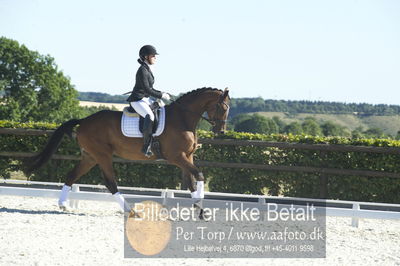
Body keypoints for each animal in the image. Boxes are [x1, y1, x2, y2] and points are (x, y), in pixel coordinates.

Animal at [26, 87, 230, 214]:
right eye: (222, 107)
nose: (220, 131)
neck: (183, 119)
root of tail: (84, 121)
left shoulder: (187, 156)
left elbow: (191, 182)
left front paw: (200, 211)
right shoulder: (177, 157)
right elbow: (199, 176)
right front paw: (201, 209)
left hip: (90, 156)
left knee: (71, 175)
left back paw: (63, 205)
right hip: (103, 155)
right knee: (110, 183)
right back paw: (130, 210)